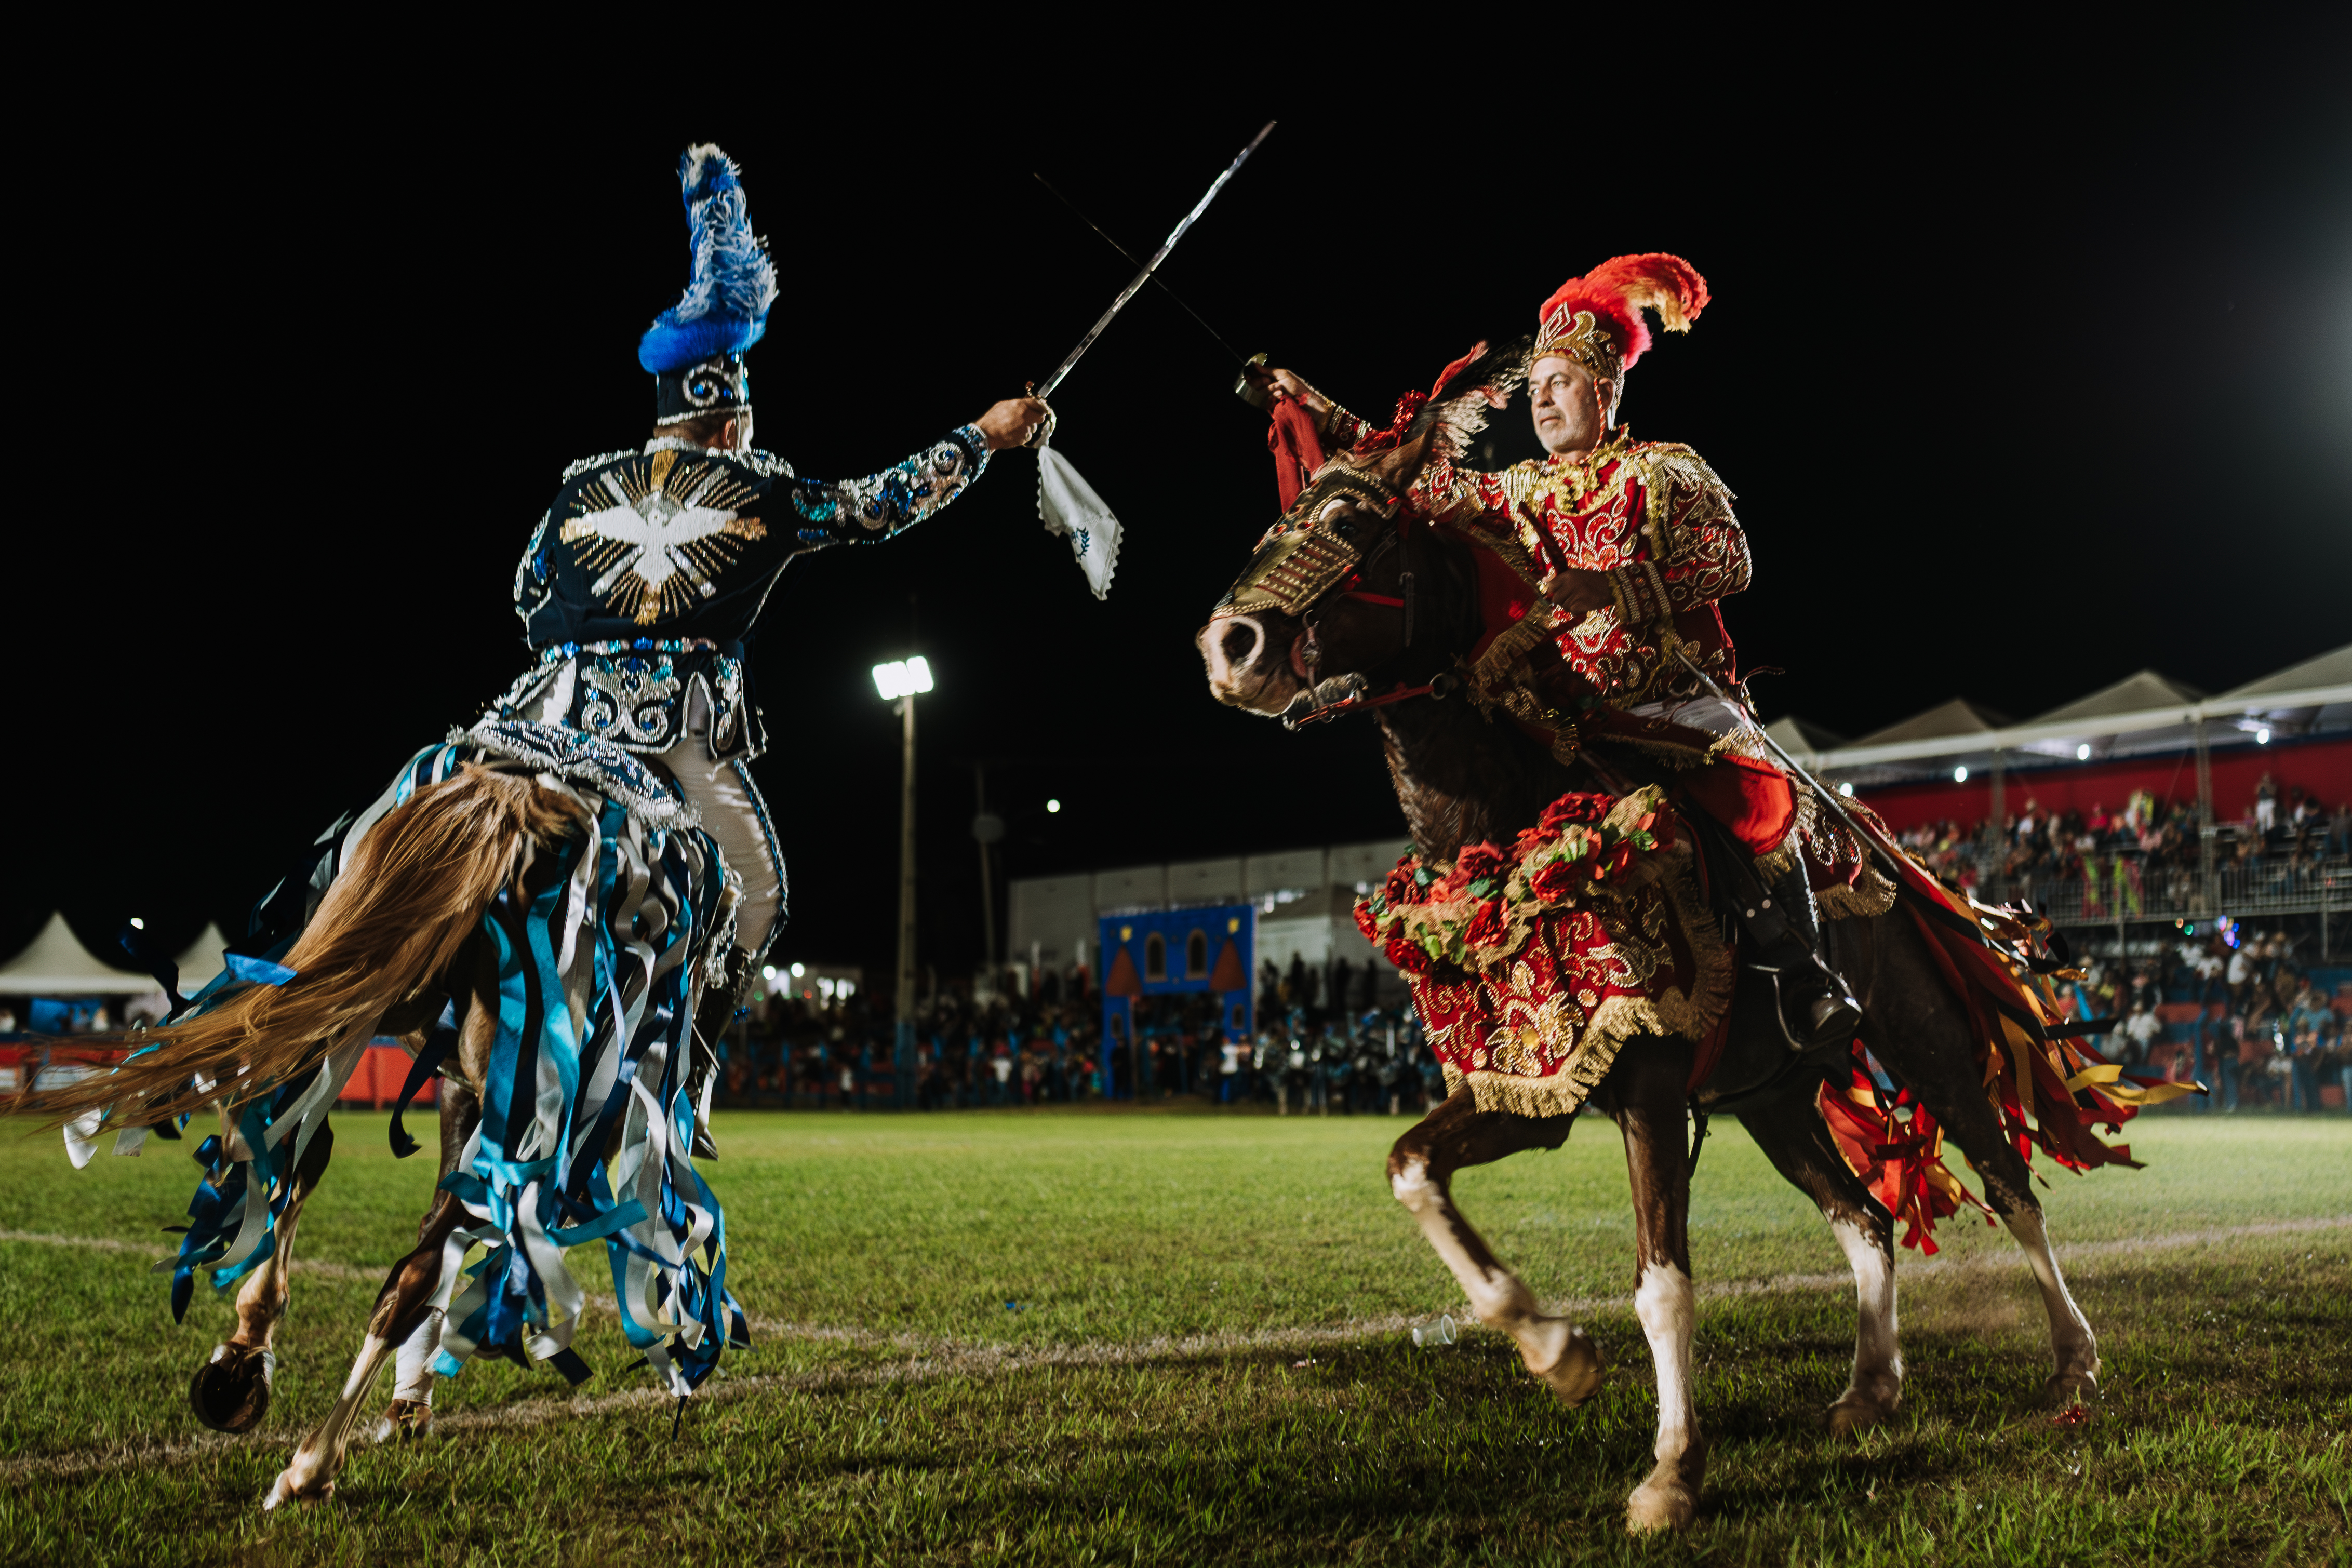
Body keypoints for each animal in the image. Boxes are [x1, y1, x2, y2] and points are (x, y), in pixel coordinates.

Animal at [1204, 416, 2107, 1533]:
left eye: (1344, 517)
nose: (1227, 645)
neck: (1505, 831)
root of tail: (1885, 853)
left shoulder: (1647, 1084)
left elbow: (1662, 1280)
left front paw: (1671, 1469)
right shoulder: (1534, 1083)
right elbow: (1412, 1166)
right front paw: (1553, 1349)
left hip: (1922, 1037)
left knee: (2007, 1183)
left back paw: (2071, 1362)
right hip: (1773, 1098)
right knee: (1863, 1219)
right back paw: (1868, 1387)